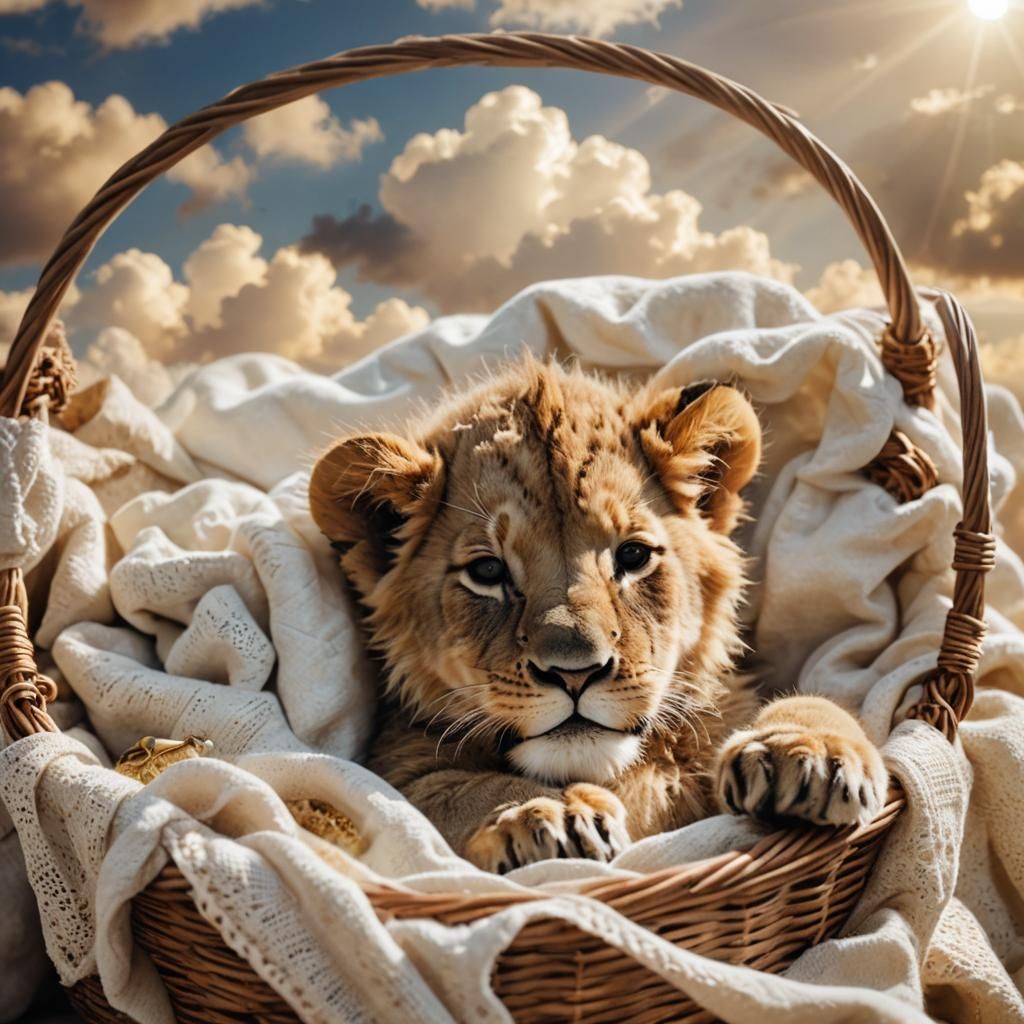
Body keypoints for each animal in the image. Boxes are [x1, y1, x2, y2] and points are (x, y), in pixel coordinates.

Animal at [309, 355, 887, 873]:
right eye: (488, 571)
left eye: (632, 556)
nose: (575, 673)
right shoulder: (391, 772)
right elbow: (452, 789)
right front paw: (545, 812)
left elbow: (811, 702)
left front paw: (809, 752)